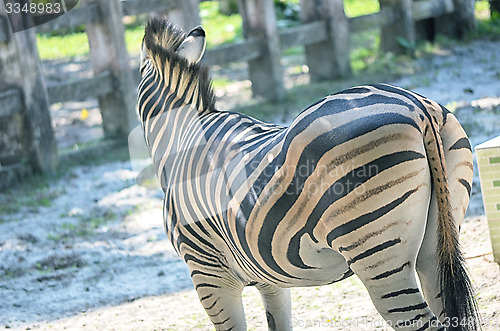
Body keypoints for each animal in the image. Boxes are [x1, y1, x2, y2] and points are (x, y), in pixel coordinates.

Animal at [137, 18, 480, 331]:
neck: (184, 137)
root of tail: (414, 106)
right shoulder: (269, 280)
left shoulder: (209, 276)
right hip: (436, 244)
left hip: (379, 256)